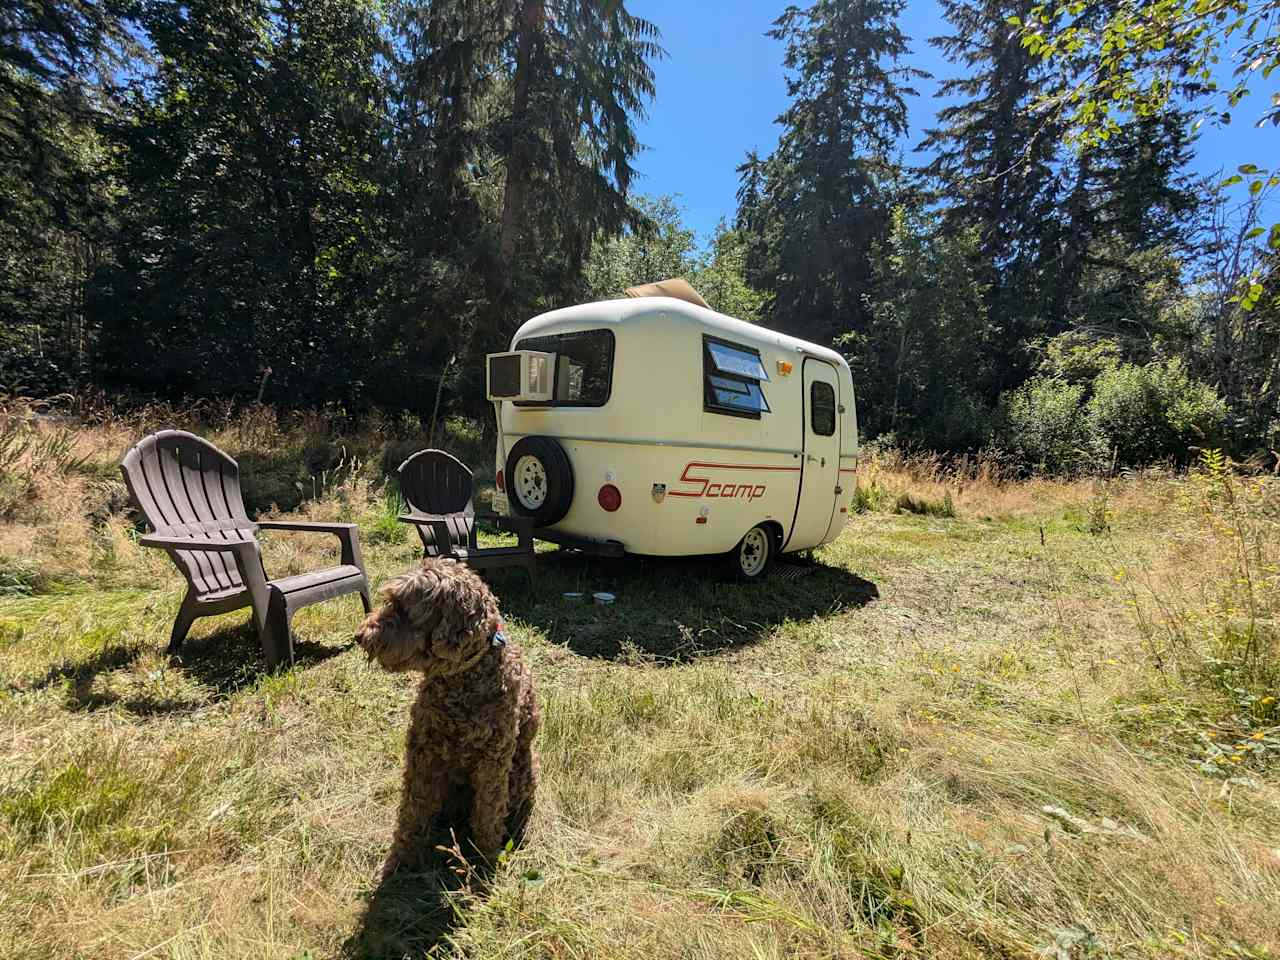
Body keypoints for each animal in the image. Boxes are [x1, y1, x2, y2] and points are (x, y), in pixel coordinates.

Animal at [355, 560, 540, 875]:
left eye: (402, 608)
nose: (360, 635)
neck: (462, 679)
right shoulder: (422, 752)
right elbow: (412, 809)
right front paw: (400, 858)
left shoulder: (493, 760)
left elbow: (489, 810)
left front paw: (486, 858)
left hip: (520, 771)